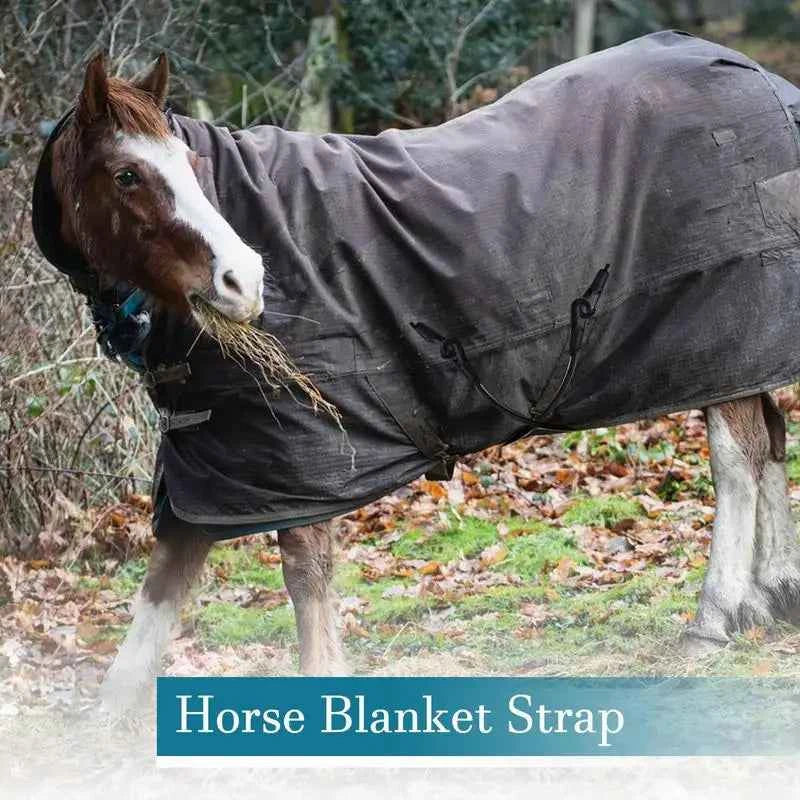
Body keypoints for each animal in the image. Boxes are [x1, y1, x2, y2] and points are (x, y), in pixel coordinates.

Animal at [33, 33, 800, 715]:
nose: (243, 280)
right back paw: (773, 595)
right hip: (746, 352)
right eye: (127, 175)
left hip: (722, 342)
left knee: (738, 458)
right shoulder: (219, 463)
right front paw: (106, 724)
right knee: (770, 441)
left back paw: (714, 618)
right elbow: (165, 582)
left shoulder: (303, 453)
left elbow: (305, 577)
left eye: (191, 163)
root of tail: (759, 79)